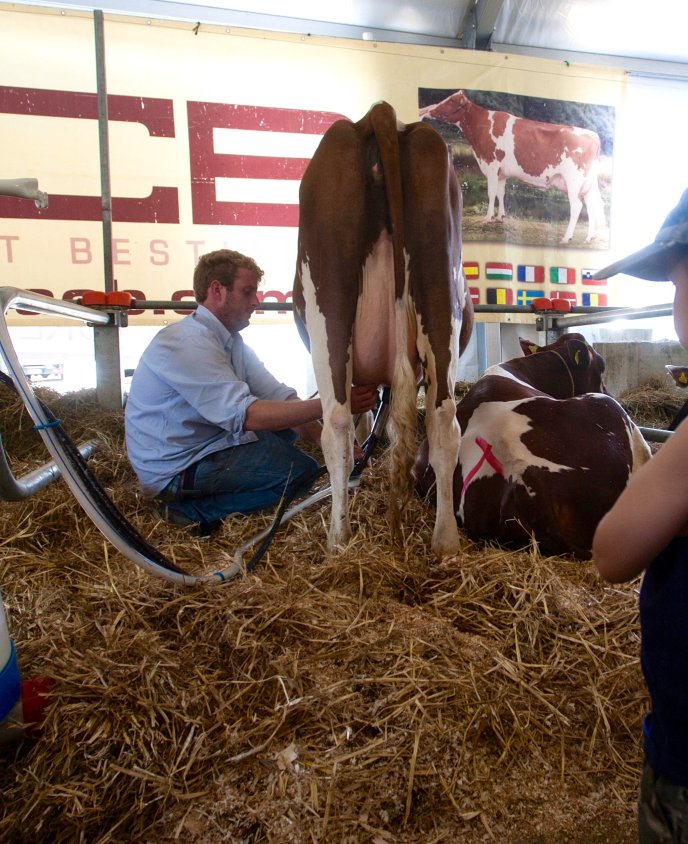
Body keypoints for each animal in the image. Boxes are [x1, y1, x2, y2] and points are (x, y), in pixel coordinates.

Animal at [290, 100, 472, 560]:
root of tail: (380, 114)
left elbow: (362, 416)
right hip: (438, 284)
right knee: (443, 420)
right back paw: (445, 541)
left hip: (327, 303)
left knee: (335, 423)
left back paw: (338, 539)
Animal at [420, 91, 608, 244]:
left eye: (452, 100)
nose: (426, 110)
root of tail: (593, 135)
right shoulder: (501, 172)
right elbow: (501, 192)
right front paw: (500, 217)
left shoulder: (491, 164)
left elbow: (491, 192)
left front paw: (487, 218)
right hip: (587, 183)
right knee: (592, 204)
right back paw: (589, 237)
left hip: (574, 180)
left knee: (577, 206)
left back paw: (566, 237)